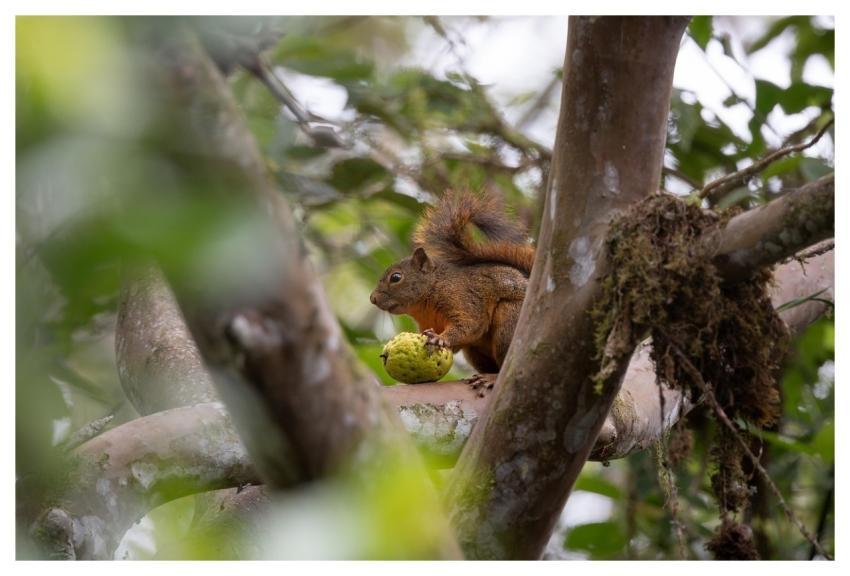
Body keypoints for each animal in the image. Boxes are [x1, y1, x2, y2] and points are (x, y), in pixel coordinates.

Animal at [370, 190, 534, 391]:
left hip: (511, 322)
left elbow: (469, 324)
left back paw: (492, 378)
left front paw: (439, 339)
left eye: (395, 277)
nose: (372, 298)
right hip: (474, 352)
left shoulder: (462, 298)